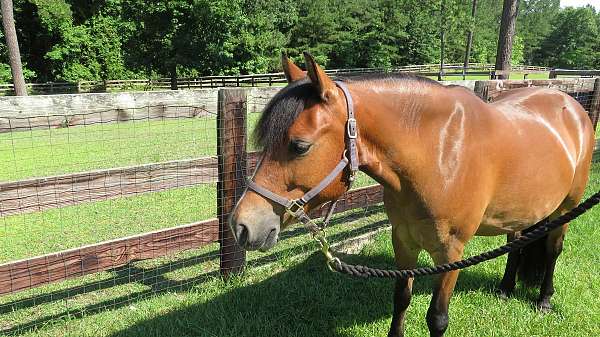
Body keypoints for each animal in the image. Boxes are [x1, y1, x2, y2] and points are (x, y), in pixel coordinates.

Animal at [230, 51, 596, 334]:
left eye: (299, 146)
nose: (241, 226)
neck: (438, 152)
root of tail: (571, 104)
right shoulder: (403, 240)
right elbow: (401, 299)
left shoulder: (451, 253)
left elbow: (437, 318)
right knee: (516, 243)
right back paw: (506, 289)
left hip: (566, 208)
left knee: (552, 250)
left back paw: (544, 300)